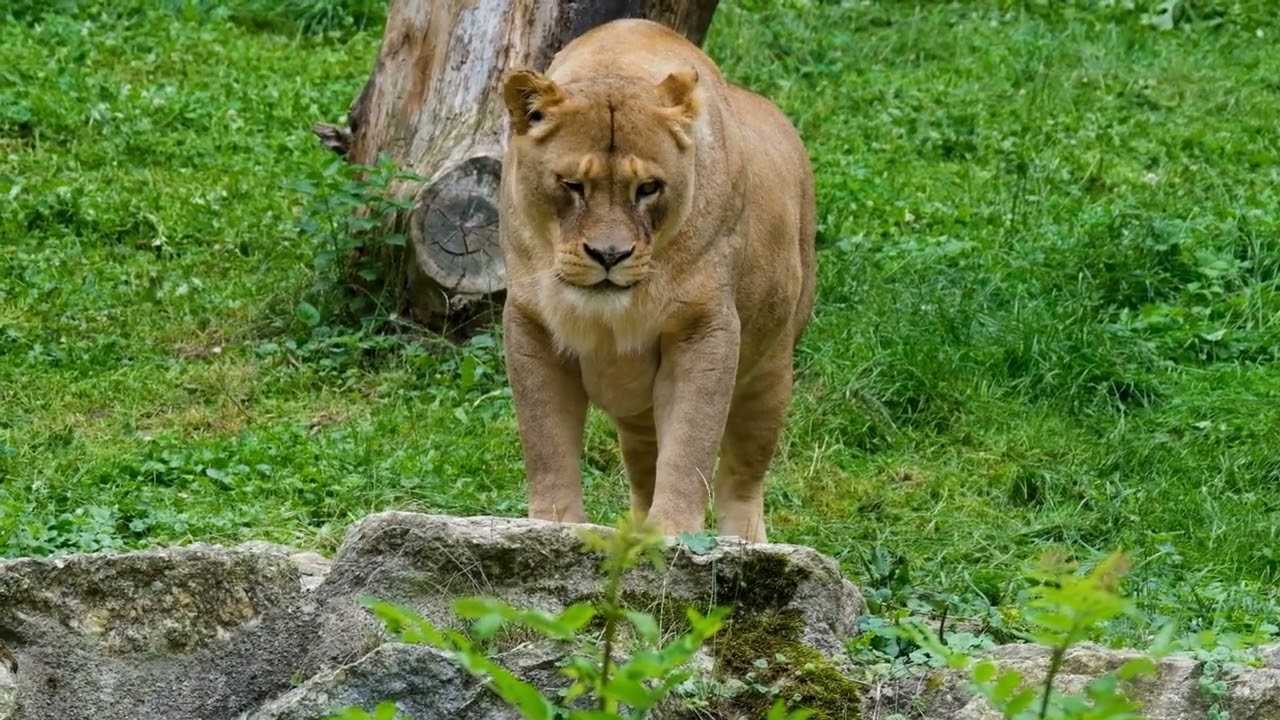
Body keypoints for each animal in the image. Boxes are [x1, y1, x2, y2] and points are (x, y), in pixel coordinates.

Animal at [497, 18, 816, 543]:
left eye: (648, 188)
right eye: (572, 185)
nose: (609, 255)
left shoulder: (703, 327)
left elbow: (691, 443)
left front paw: (673, 534)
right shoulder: (531, 324)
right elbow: (546, 441)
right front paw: (554, 527)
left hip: (770, 372)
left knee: (742, 477)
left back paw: (745, 543)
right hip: (638, 411)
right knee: (644, 467)